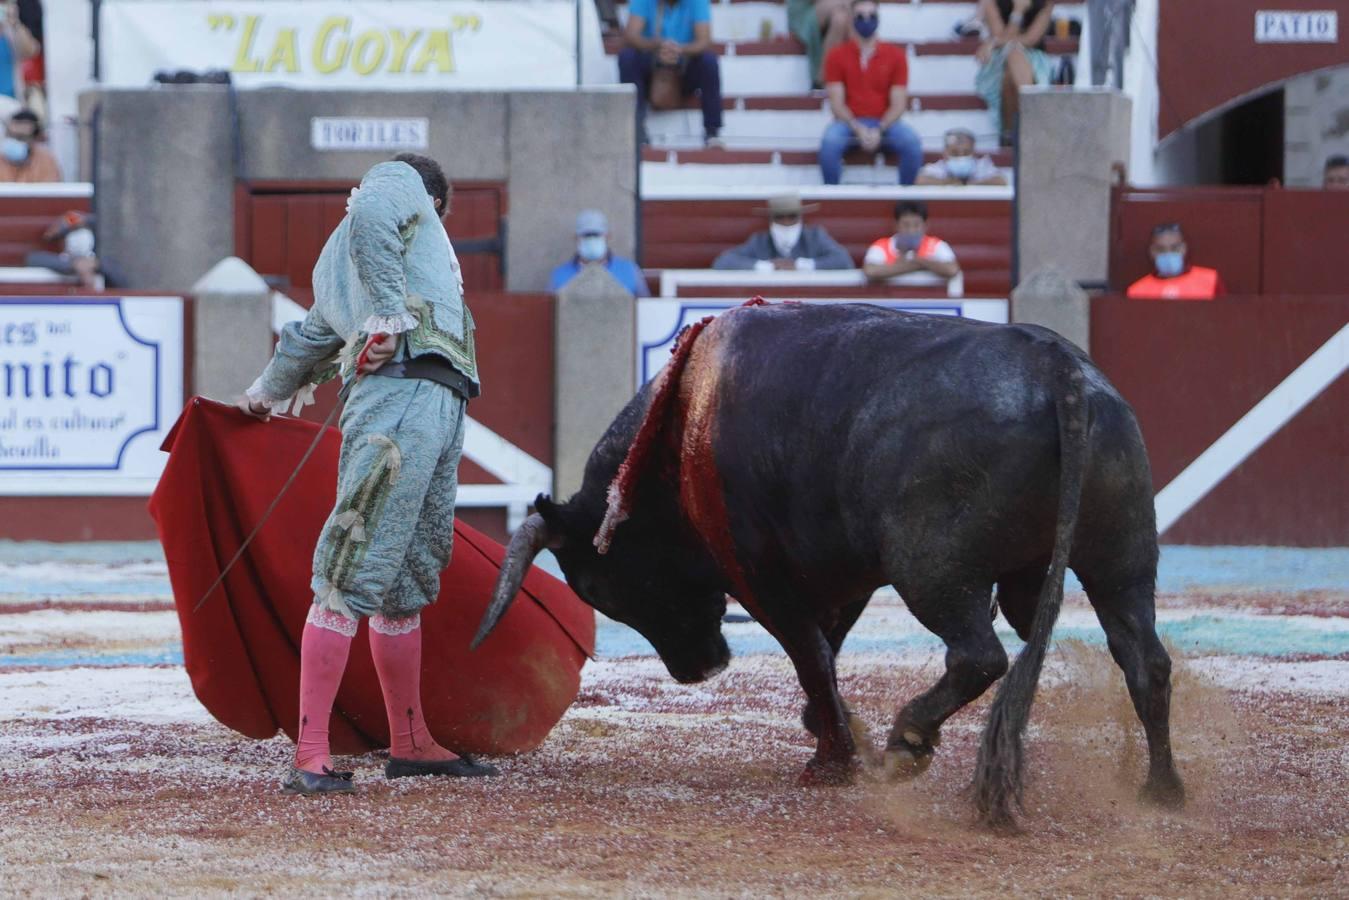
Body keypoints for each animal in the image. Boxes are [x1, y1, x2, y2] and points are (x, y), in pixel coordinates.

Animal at [472, 302, 1181, 831]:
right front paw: (832, 735)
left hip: (931, 570)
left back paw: (907, 740)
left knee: (979, 654)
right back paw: (1163, 788)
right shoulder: (844, 575)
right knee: (1143, 657)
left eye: (609, 591)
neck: (676, 430)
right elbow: (829, 651)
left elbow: (811, 653)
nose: (701, 670)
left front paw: (834, 760)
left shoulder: (760, 575)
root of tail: (1056, 367)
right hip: (1122, 558)